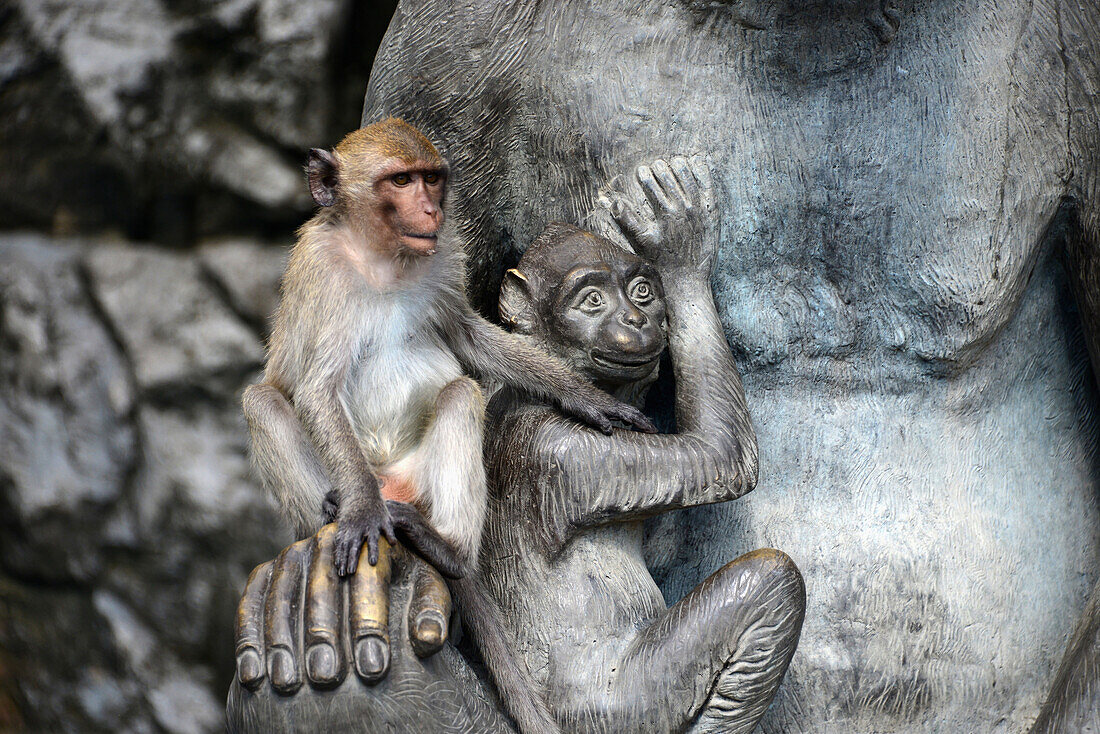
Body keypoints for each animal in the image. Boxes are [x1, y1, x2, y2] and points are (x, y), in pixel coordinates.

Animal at [242, 117, 651, 730]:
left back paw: (447, 548)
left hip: (421, 478)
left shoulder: (440, 260)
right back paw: (340, 512)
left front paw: (583, 396)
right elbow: (315, 389)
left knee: (461, 393)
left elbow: (468, 338)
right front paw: (360, 513)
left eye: (432, 178)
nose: (431, 209)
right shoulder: (323, 271)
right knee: (262, 400)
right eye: (400, 180)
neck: (382, 260)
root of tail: (393, 485)